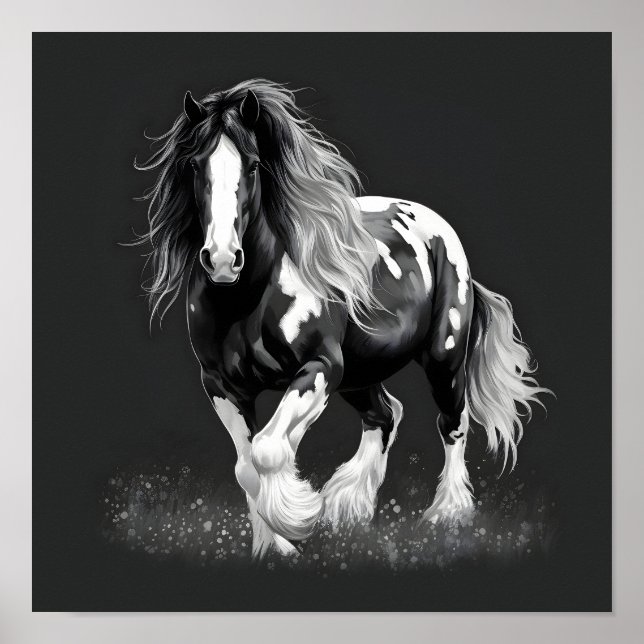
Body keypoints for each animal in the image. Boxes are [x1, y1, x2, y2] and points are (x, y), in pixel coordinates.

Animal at [134, 79, 549, 559]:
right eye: (193, 165)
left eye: (253, 165)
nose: (221, 260)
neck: (249, 299)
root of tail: (443, 232)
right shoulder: (221, 384)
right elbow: (246, 466)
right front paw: (275, 547)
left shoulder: (320, 368)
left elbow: (269, 450)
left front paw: (296, 517)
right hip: (359, 373)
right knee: (385, 415)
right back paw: (351, 507)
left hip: (442, 360)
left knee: (452, 424)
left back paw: (446, 515)